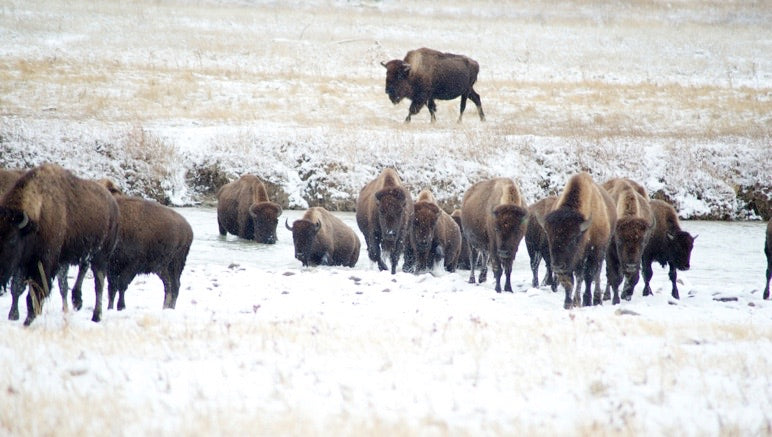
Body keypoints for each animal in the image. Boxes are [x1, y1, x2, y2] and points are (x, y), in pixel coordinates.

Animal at [0, 164, 118, 324]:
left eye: (12, 239)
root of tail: (114, 204)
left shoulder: (44, 262)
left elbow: (36, 291)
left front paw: (29, 319)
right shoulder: (24, 262)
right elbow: (17, 288)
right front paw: (13, 315)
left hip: (100, 257)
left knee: (98, 284)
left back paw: (96, 316)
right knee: (79, 274)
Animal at [98, 179, 195, 312]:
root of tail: (188, 228)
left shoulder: (132, 265)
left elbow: (122, 284)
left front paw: (121, 306)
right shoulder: (111, 266)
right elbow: (112, 288)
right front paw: (110, 308)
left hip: (176, 264)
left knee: (175, 285)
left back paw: (170, 308)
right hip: (161, 268)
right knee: (168, 285)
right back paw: (166, 307)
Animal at [544, 172, 620, 308]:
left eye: (573, 238)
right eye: (550, 238)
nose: (557, 266)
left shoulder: (592, 254)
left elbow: (587, 277)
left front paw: (585, 300)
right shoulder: (570, 263)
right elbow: (570, 281)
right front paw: (568, 303)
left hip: (602, 251)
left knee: (596, 274)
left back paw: (596, 299)